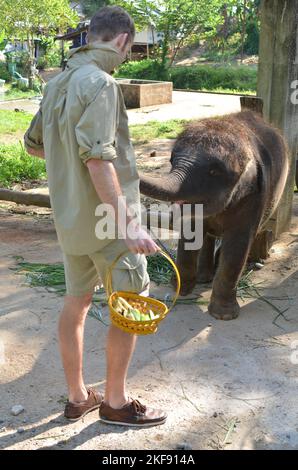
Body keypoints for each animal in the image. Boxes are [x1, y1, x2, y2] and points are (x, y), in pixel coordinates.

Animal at [141, 112, 290, 322]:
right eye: (171, 161)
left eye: (213, 172)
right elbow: (190, 234)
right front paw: (179, 288)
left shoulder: (254, 197)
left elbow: (237, 245)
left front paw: (223, 315)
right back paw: (204, 277)